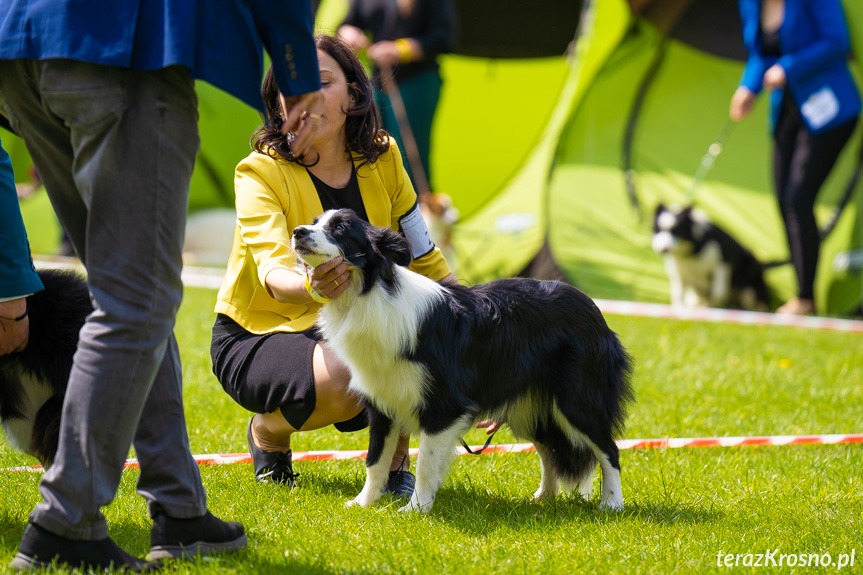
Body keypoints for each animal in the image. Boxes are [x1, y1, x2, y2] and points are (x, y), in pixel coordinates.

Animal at [292, 209, 636, 516]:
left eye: (340, 228)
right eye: (314, 222)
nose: (297, 231)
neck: (368, 293)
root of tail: (593, 308)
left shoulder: (443, 405)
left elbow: (426, 461)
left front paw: (415, 509)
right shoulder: (381, 400)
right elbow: (375, 459)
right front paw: (363, 503)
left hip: (578, 398)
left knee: (609, 449)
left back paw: (611, 504)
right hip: (531, 405)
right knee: (549, 448)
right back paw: (543, 498)